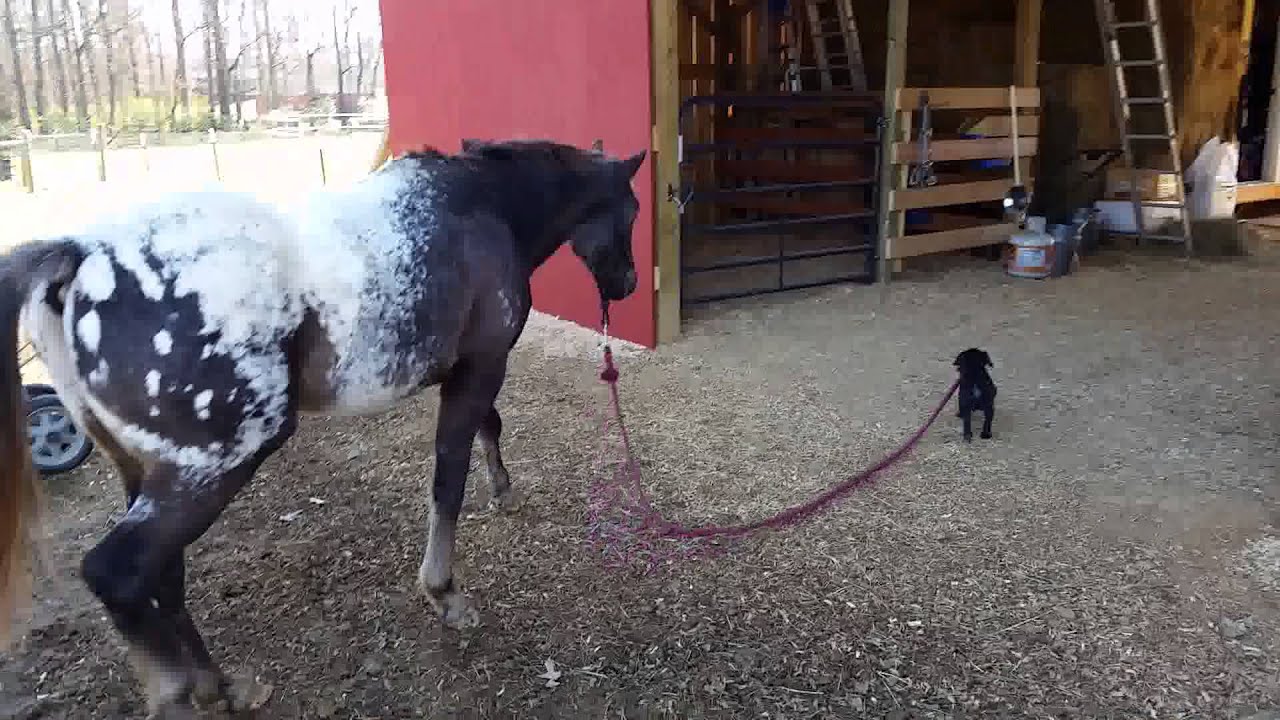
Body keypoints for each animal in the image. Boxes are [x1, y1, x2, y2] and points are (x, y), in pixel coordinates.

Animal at [0, 138, 645, 717]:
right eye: (633, 211)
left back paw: (221, 687)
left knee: (161, 575)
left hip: (148, 471)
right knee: (119, 573)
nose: (628, 285)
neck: (483, 206)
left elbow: (489, 428)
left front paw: (502, 488)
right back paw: (183, 693)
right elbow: (448, 482)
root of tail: (79, 257)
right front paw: (445, 593)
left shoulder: (465, 371)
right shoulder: (480, 368)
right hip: (214, 466)